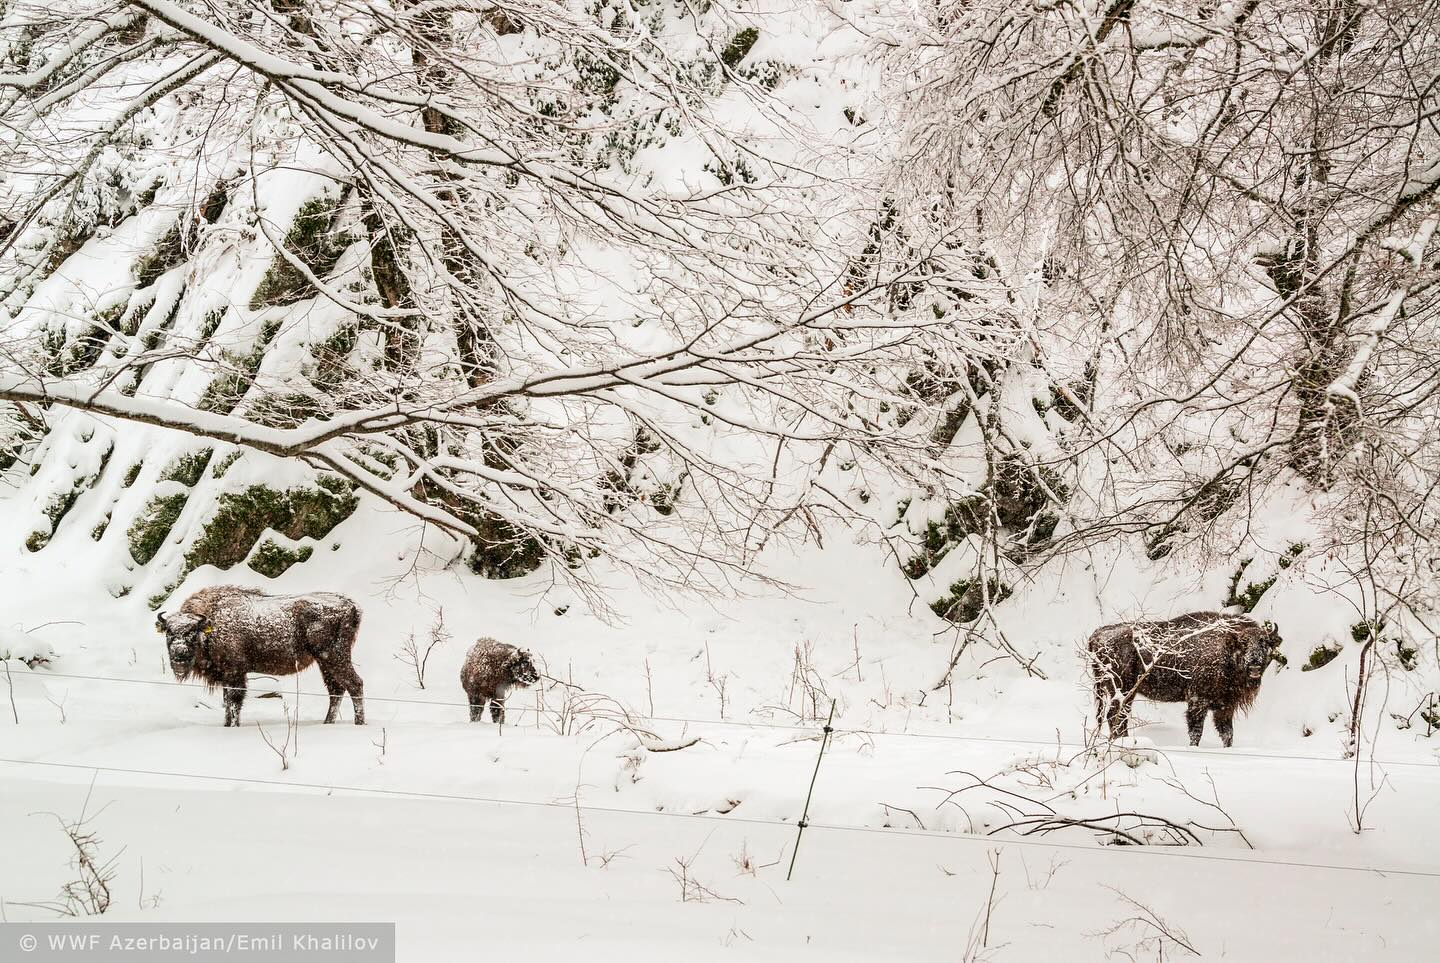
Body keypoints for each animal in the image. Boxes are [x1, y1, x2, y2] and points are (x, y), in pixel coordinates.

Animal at [156, 581, 365, 725]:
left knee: (354, 684)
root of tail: (351, 605)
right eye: (169, 632)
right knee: (336, 690)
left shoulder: (235, 674)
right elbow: (227, 703)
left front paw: (233, 726)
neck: (211, 624)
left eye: (192, 632)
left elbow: (234, 702)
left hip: (334, 656)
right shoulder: (227, 676)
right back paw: (327, 723)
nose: (179, 655)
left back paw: (359, 723)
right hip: (324, 661)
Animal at [1082, 613, 1278, 748]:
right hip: (1122, 690)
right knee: (1115, 716)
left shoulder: (1225, 707)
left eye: (1264, 642)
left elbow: (1227, 733)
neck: (1226, 649)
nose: (1254, 664)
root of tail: (1097, 635)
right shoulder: (1198, 702)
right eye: (1243, 643)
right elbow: (1196, 731)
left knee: (1118, 717)